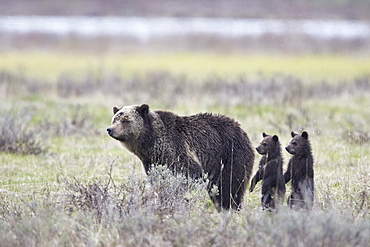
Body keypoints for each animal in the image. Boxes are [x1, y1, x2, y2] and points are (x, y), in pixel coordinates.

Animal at [107, 103, 254, 210]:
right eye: (115, 119)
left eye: (125, 119)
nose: (110, 129)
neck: (151, 143)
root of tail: (242, 130)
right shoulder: (152, 162)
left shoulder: (177, 149)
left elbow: (189, 172)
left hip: (230, 155)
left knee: (229, 186)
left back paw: (230, 207)